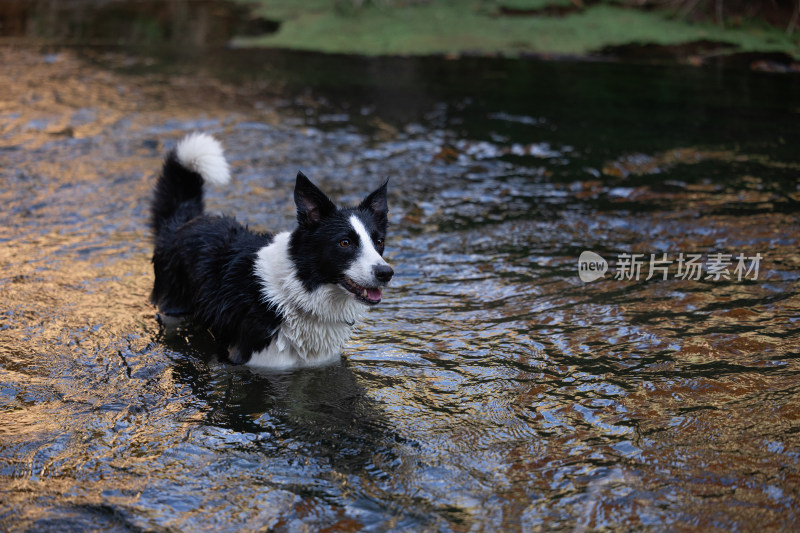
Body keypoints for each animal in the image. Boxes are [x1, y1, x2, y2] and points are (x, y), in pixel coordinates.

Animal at [148, 132, 392, 366]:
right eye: (345, 243)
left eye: (379, 242)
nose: (386, 273)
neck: (296, 291)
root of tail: (181, 224)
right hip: (173, 309)